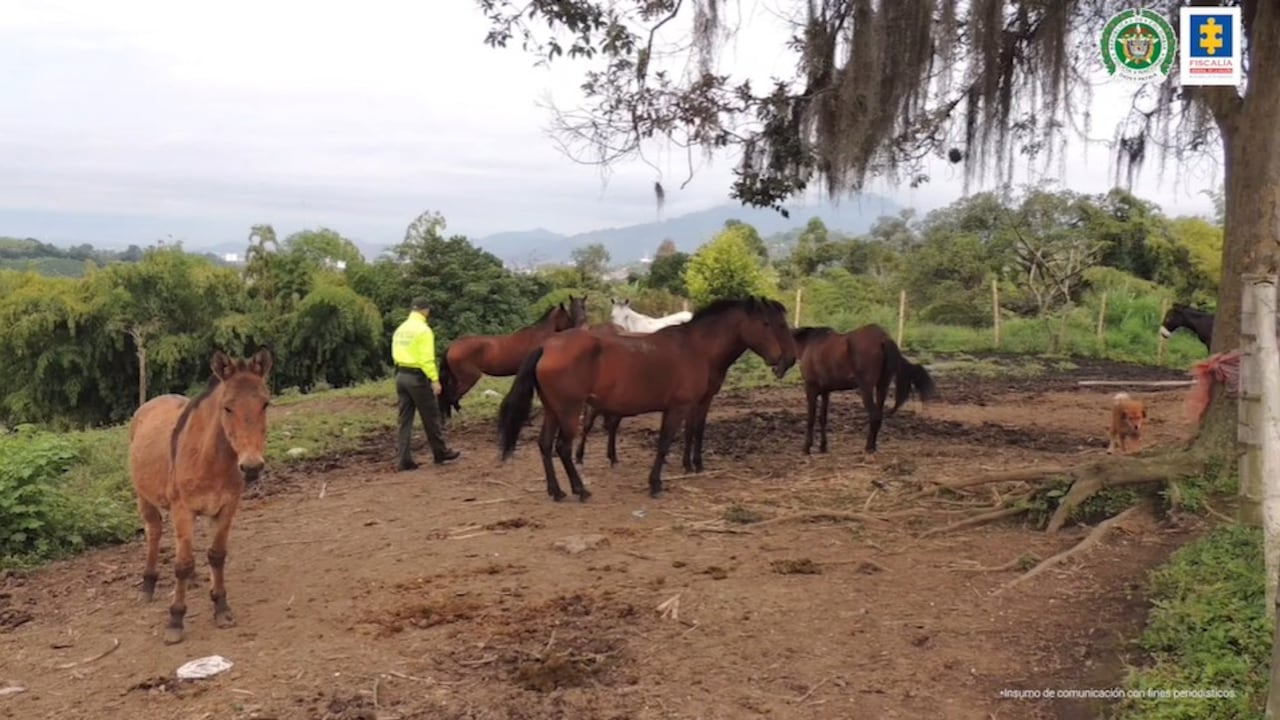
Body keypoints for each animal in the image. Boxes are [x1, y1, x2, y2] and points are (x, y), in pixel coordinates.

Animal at [128, 347, 274, 645]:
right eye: (227, 407)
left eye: (265, 404)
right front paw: (175, 620)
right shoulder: (182, 509)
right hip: (144, 498)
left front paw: (221, 608)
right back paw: (148, 585)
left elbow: (216, 556)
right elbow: (182, 564)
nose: (252, 466)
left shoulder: (227, 507)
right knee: (154, 532)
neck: (209, 458)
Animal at [437, 295, 588, 418]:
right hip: (468, 378)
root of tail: (452, 346)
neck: (539, 336)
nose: (576, 326)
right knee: (453, 397)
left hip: (456, 378)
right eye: (567, 316)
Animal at [497, 297, 797, 500]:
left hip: (553, 410)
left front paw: (694, 466)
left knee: (545, 445)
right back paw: (580, 490)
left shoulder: (698, 403)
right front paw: (655, 484)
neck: (697, 348)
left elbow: (694, 432)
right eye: (766, 324)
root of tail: (547, 347)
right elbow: (665, 443)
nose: (786, 360)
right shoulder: (678, 408)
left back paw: (556, 491)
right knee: (562, 447)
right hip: (570, 411)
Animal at [792, 324, 939, 455]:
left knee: (874, 415)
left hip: (866, 389)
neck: (810, 343)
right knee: (879, 416)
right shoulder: (825, 391)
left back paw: (868, 448)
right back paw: (873, 446)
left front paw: (806, 447)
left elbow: (811, 418)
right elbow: (823, 418)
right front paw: (823, 447)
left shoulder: (811, 388)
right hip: (882, 387)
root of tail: (883, 338)